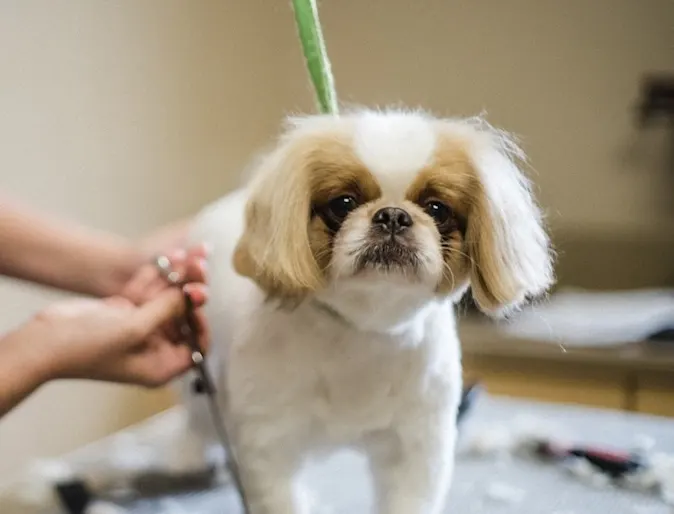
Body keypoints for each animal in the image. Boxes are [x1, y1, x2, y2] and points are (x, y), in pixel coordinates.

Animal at [175, 109, 552, 512]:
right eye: (343, 203)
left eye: (437, 208)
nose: (393, 215)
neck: (364, 331)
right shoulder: (268, 443)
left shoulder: (416, 447)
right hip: (205, 391)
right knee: (195, 422)